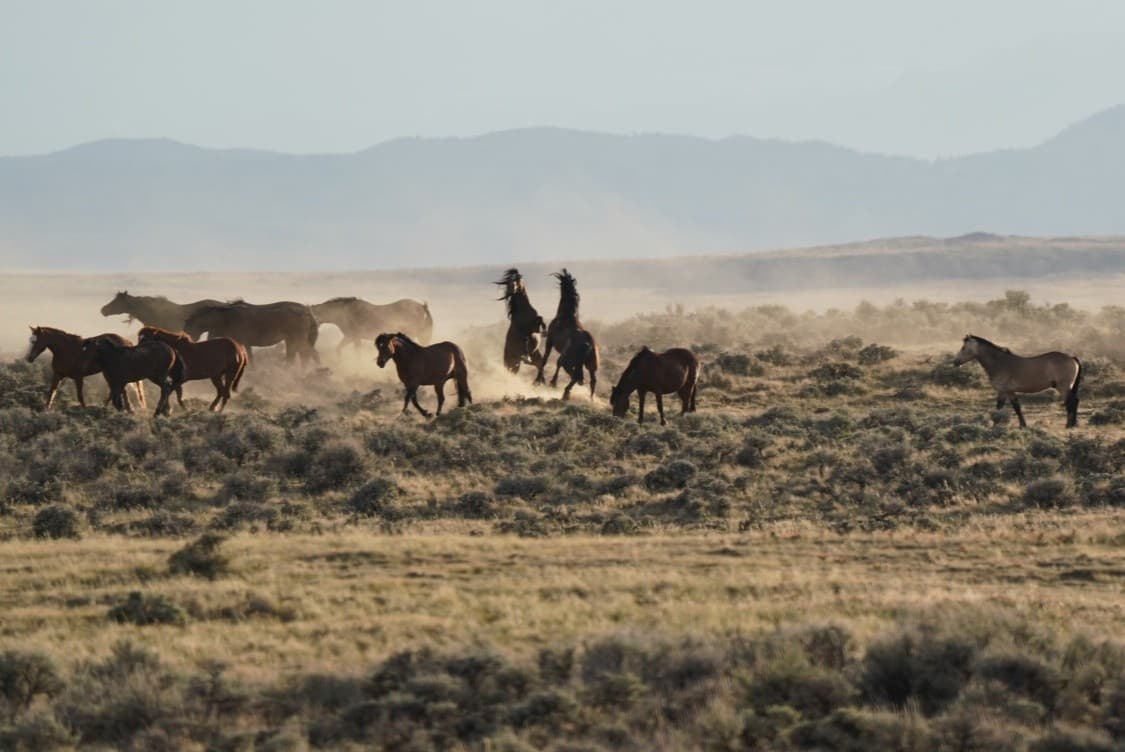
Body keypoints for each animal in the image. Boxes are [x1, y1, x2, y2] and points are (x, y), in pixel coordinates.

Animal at [184, 301, 319, 366]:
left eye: (187, 327)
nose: (189, 340)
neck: (225, 319)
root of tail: (307, 311)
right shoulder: (245, 344)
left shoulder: (243, 342)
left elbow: (250, 360)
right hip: (291, 340)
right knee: (297, 357)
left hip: (298, 340)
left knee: (309, 354)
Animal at [534, 269, 599, 400]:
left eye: (562, 282)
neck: (566, 315)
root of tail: (588, 345)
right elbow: (557, 363)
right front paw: (551, 382)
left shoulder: (550, 341)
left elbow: (545, 360)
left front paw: (540, 381)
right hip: (591, 365)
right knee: (591, 380)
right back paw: (590, 399)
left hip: (571, 362)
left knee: (575, 376)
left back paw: (565, 392)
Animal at [952, 334, 1082, 428]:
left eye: (963, 348)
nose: (955, 362)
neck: (999, 363)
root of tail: (1071, 358)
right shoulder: (1010, 392)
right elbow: (1016, 407)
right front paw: (1022, 425)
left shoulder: (1003, 391)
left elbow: (1001, 407)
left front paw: (996, 423)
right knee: (1073, 402)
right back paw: (1072, 424)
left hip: (1063, 387)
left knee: (1072, 402)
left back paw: (1069, 425)